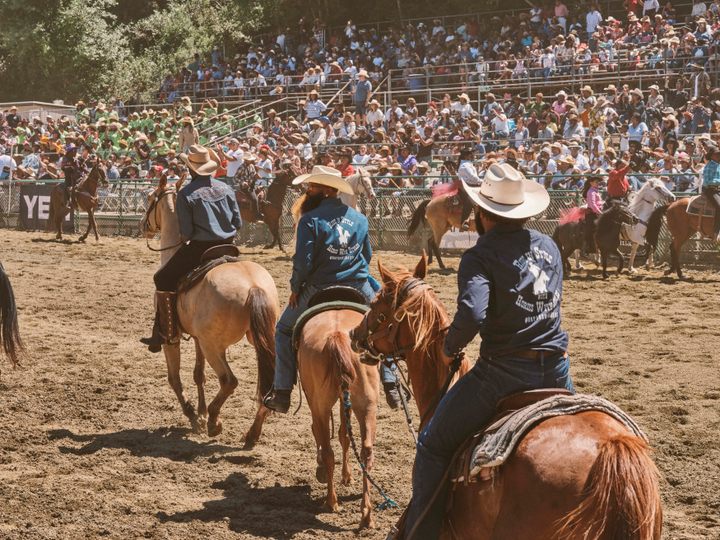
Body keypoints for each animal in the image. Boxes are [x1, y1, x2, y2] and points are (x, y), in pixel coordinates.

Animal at [141, 175, 278, 446]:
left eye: (151, 197)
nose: (142, 225)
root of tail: (253, 286)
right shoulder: (197, 339)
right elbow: (198, 374)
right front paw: (201, 412)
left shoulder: (173, 338)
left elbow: (175, 378)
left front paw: (195, 416)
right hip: (257, 339)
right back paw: (251, 434)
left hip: (215, 346)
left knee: (229, 380)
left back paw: (215, 422)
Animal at [296, 308, 380, 528]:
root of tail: (337, 336)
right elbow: (344, 434)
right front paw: (347, 476)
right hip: (367, 405)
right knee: (366, 451)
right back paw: (366, 514)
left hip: (319, 407)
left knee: (327, 449)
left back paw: (331, 501)